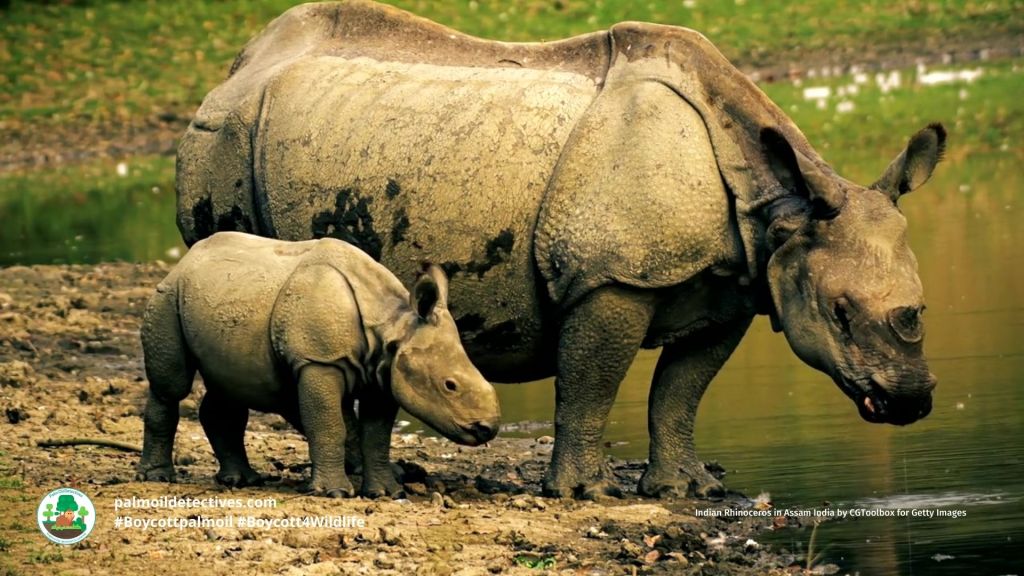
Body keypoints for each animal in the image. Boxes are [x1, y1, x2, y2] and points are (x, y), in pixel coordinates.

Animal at [137, 231, 500, 497]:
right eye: (450, 385)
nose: (487, 429)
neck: (391, 324)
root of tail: (187, 258)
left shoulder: (384, 371)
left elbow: (376, 436)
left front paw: (386, 493)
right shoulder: (318, 361)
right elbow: (330, 425)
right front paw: (335, 493)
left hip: (224, 298)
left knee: (230, 387)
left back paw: (241, 480)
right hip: (169, 294)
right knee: (171, 386)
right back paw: (158, 477)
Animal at [176, 1, 943, 499]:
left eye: (920, 309)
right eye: (840, 314)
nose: (910, 402)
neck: (779, 211)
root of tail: (240, 64)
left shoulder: (737, 282)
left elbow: (681, 389)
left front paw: (686, 489)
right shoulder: (611, 278)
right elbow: (591, 381)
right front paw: (585, 492)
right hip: (224, 137)